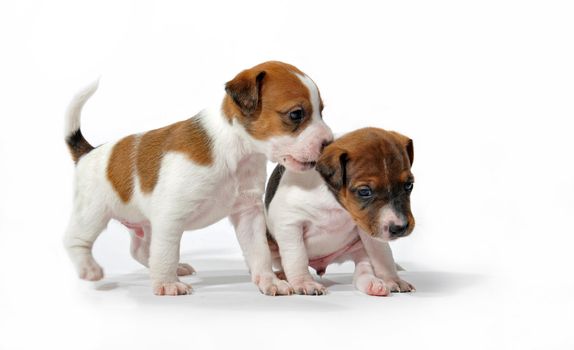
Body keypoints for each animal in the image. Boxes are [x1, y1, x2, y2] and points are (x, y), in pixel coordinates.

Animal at [63, 60, 332, 296]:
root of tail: (89, 152)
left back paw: (174, 268)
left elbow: (259, 252)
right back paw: (89, 268)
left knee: (140, 250)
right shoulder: (170, 217)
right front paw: (167, 284)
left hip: (144, 224)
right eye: (296, 114)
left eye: (321, 111)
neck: (234, 149)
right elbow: (166, 253)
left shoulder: (248, 214)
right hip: (93, 213)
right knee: (76, 240)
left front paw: (269, 281)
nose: (328, 142)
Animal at [266, 127, 418, 294]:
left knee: (362, 271)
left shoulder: (367, 227)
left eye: (409, 185)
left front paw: (392, 279)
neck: (335, 204)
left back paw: (371, 284)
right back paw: (280, 276)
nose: (400, 228)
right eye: (364, 191)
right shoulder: (289, 223)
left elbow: (382, 255)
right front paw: (305, 282)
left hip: (359, 248)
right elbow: (297, 256)